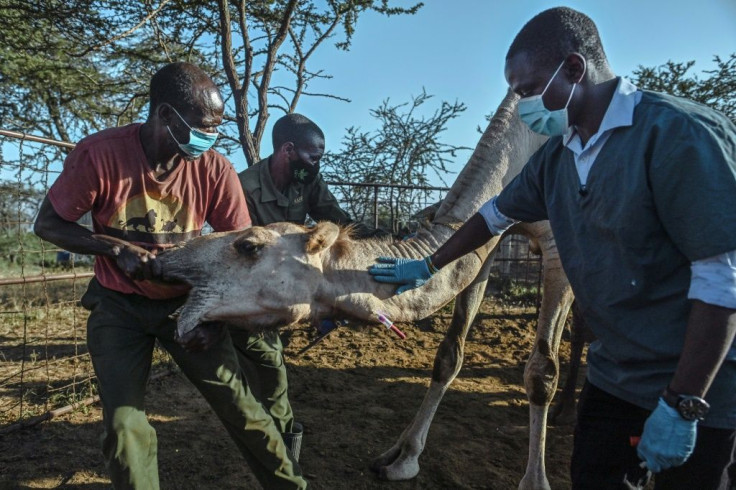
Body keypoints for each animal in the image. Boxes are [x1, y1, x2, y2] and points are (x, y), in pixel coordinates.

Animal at [157, 89, 576, 490]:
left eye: (248, 246)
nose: (168, 259)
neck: (518, 150)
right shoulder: (489, 242)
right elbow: (448, 355)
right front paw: (401, 459)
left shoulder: (558, 244)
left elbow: (541, 372)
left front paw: (535, 482)